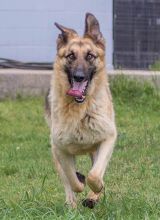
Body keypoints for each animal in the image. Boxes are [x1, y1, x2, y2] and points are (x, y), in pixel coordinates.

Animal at [45, 12, 117, 209]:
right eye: (70, 56)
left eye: (90, 56)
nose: (79, 76)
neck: (80, 109)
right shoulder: (60, 149)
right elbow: (72, 180)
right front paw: (79, 182)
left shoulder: (108, 138)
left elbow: (95, 175)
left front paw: (96, 190)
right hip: (55, 154)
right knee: (67, 181)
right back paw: (72, 204)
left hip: (95, 150)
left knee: (96, 171)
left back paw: (92, 198)